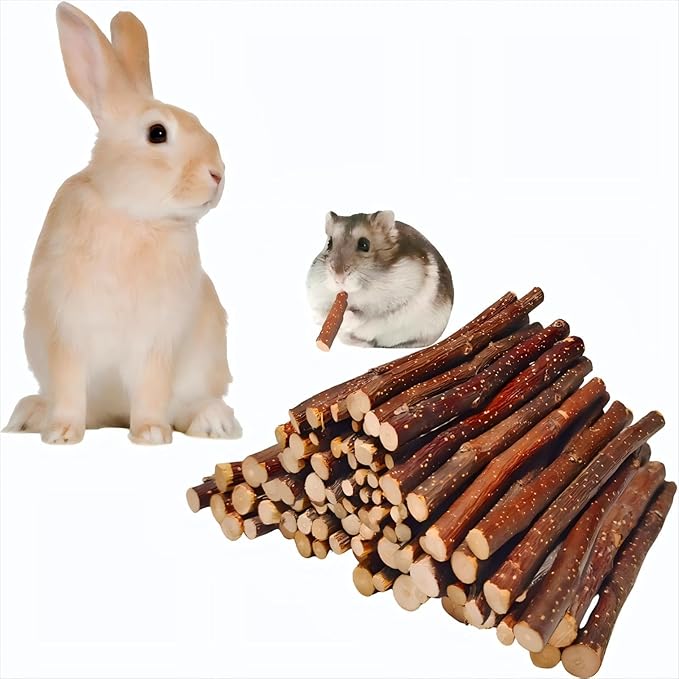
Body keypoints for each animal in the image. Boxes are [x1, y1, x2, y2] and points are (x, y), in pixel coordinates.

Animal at [3, 2, 241, 444]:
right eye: (157, 133)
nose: (218, 174)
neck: (132, 214)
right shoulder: (68, 333)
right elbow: (69, 386)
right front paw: (62, 434)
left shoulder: (156, 344)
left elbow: (151, 389)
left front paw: (150, 433)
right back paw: (31, 415)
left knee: (190, 404)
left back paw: (213, 421)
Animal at [306, 211, 453, 348]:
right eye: (329, 243)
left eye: (364, 244)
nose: (338, 277)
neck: (356, 294)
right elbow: (319, 312)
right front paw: (323, 318)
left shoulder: (398, 303)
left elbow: (364, 316)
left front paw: (346, 317)